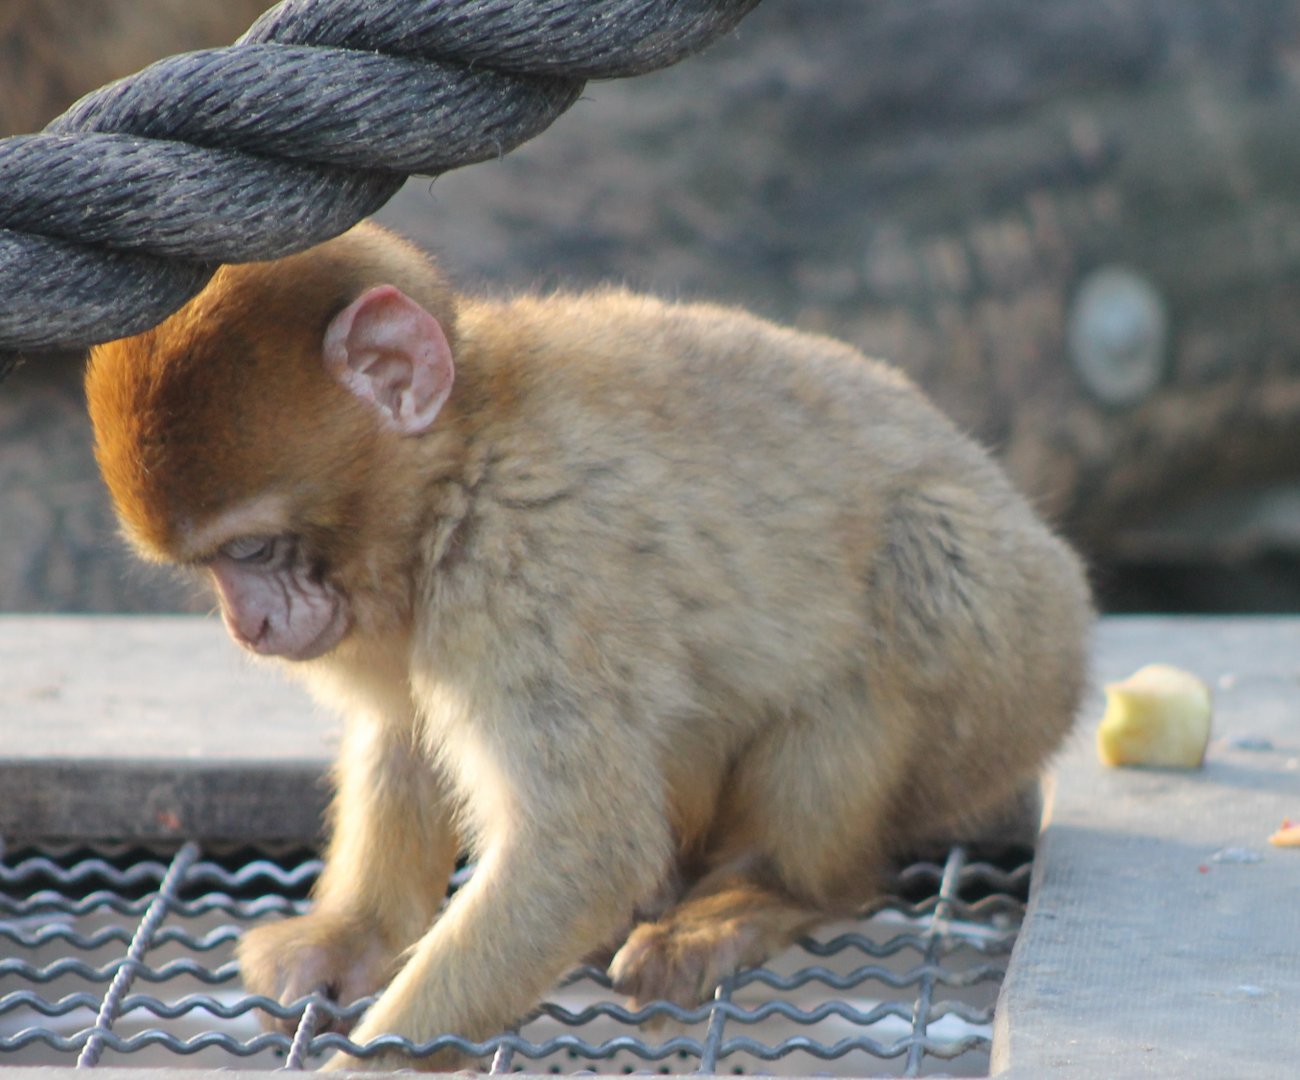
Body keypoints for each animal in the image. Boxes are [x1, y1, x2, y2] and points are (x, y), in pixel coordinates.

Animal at [84, 221, 1091, 1071]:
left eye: (251, 550)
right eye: (211, 567)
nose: (247, 623)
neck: (462, 458)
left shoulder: (529, 560)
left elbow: (582, 850)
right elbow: (406, 735)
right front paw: (355, 936)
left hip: (1012, 678)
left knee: (916, 582)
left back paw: (771, 891)